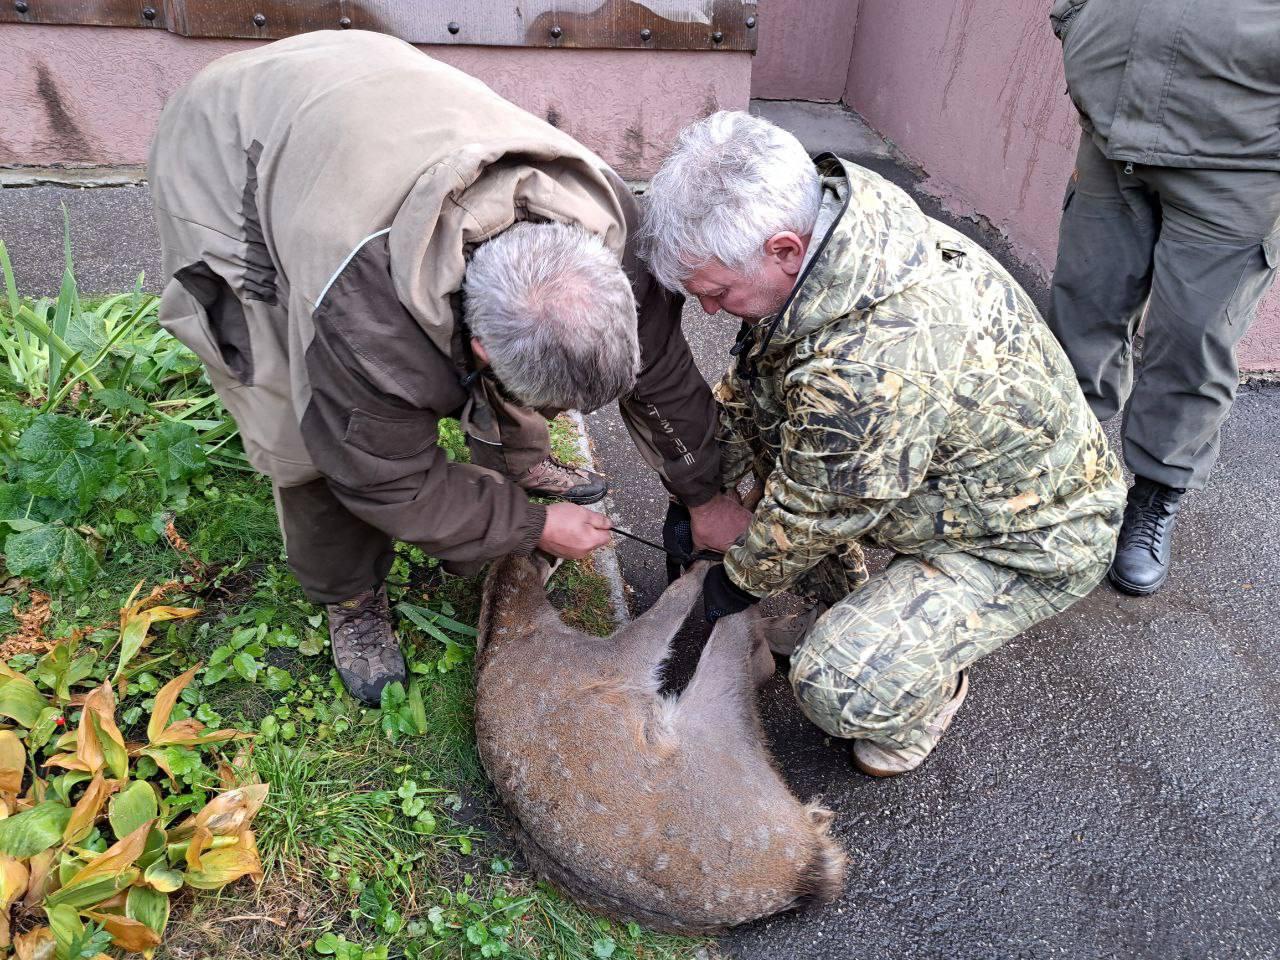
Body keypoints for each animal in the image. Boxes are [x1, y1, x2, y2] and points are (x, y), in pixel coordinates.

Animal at [476, 552, 844, 936]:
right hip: (720, 729)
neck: (512, 628)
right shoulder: (609, 659)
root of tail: (807, 870)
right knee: (739, 639)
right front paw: (697, 569)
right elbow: (668, 607)